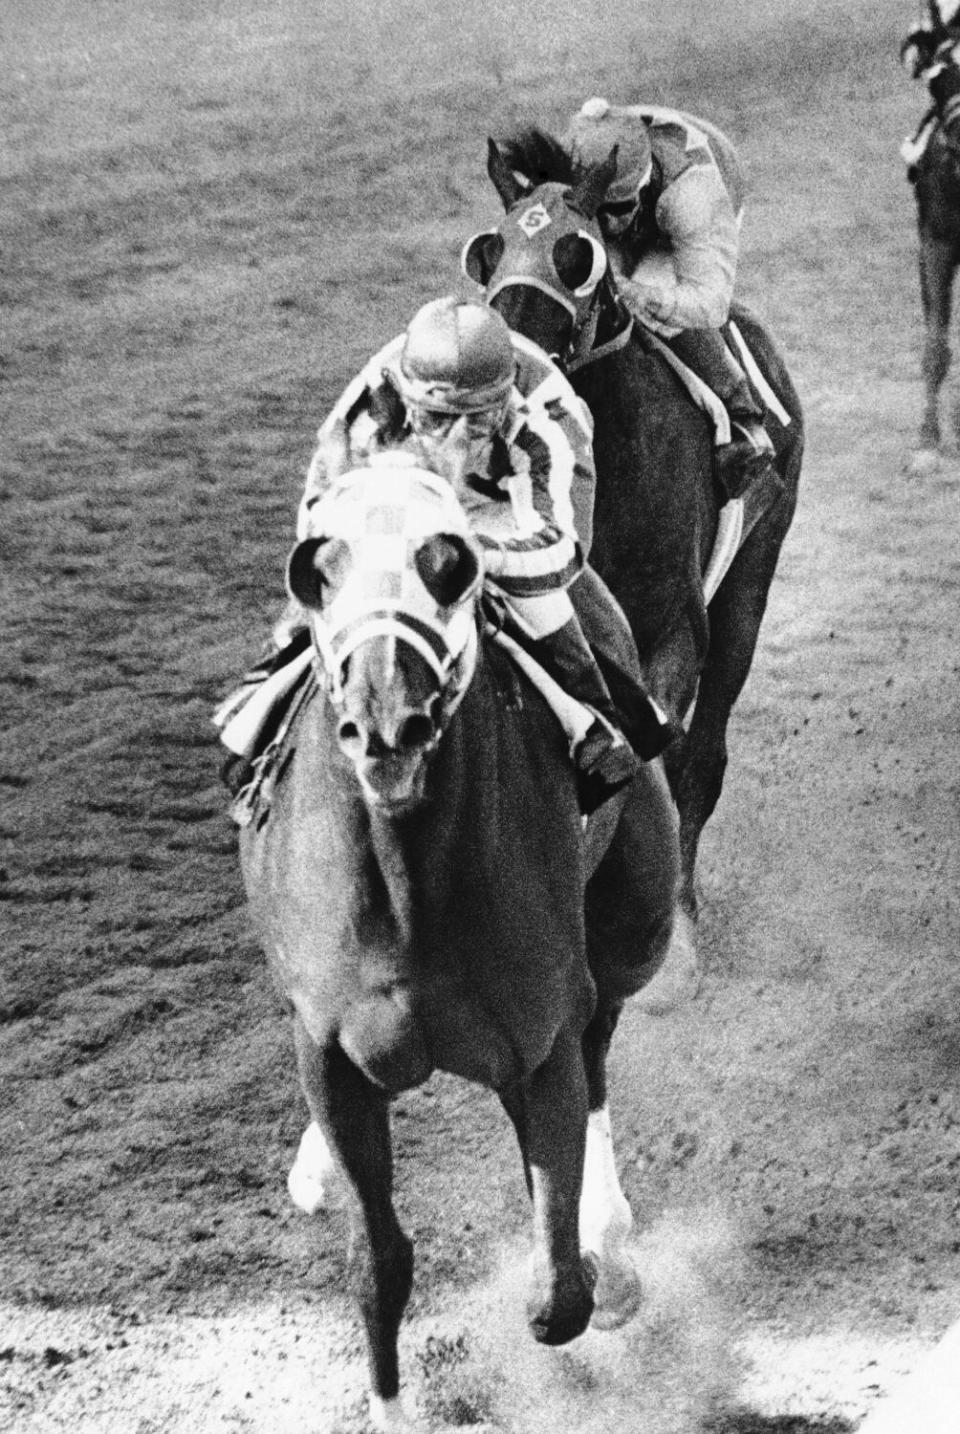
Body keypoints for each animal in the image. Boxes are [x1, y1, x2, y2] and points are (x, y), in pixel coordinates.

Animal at [239, 461, 680, 1434]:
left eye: (451, 566)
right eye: (316, 572)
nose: (387, 724)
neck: (409, 890)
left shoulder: (540, 1043)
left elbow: (557, 1298)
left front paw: (591, 1268)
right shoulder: (331, 1053)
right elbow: (379, 1263)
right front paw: (389, 1404)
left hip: (636, 922)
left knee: (603, 1042)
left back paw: (611, 1236)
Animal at [459, 129, 803, 923]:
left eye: (576, 255)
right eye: (487, 252)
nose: (507, 360)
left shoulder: (675, 632)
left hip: (750, 581)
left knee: (702, 760)